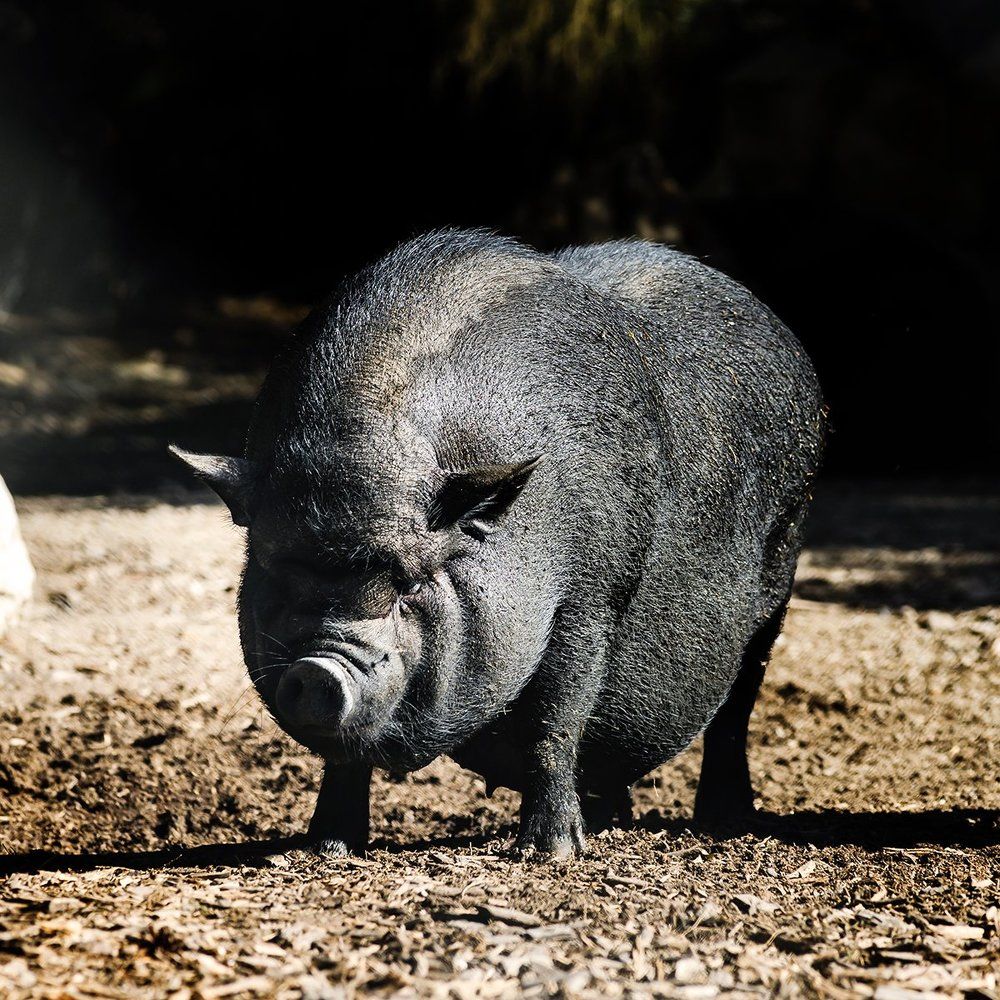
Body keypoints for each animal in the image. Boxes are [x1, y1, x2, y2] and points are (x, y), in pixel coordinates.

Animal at [172, 229, 824, 858]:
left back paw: (723, 820)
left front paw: (551, 854)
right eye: (279, 571)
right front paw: (326, 849)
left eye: (410, 585)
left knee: (737, 706)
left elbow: (555, 719)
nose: (317, 669)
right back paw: (614, 821)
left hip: (783, 562)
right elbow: (343, 758)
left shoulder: (591, 594)